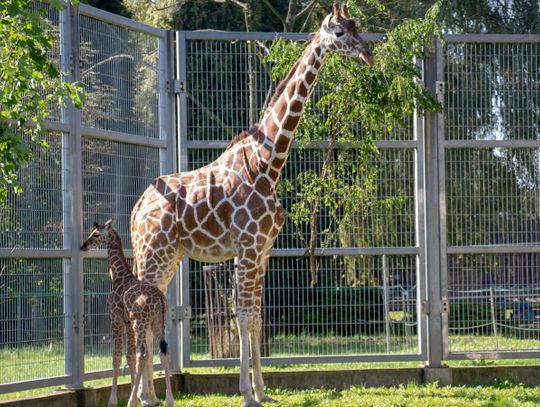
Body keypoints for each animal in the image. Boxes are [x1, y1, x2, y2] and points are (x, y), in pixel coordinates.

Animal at [80, 220, 173, 407]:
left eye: (96, 234)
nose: (83, 246)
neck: (117, 275)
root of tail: (160, 298)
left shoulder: (116, 318)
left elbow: (116, 357)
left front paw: (114, 400)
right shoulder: (128, 323)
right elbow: (129, 357)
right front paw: (135, 395)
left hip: (141, 322)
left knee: (143, 354)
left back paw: (131, 401)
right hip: (158, 322)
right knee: (163, 351)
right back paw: (169, 399)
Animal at [131, 3, 376, 407]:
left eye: (359, 26)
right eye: (339, 32)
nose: (368, 53)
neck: (268, 164)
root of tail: (136, 208)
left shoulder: (263, 250)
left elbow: (258, 319)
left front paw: (264, 391)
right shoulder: (246, 248)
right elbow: (243, 318)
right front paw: (247, 394)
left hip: (167, 256)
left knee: (150, 313)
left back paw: (147, 395)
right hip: (153, 253)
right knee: (139, 312)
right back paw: (143, 397)